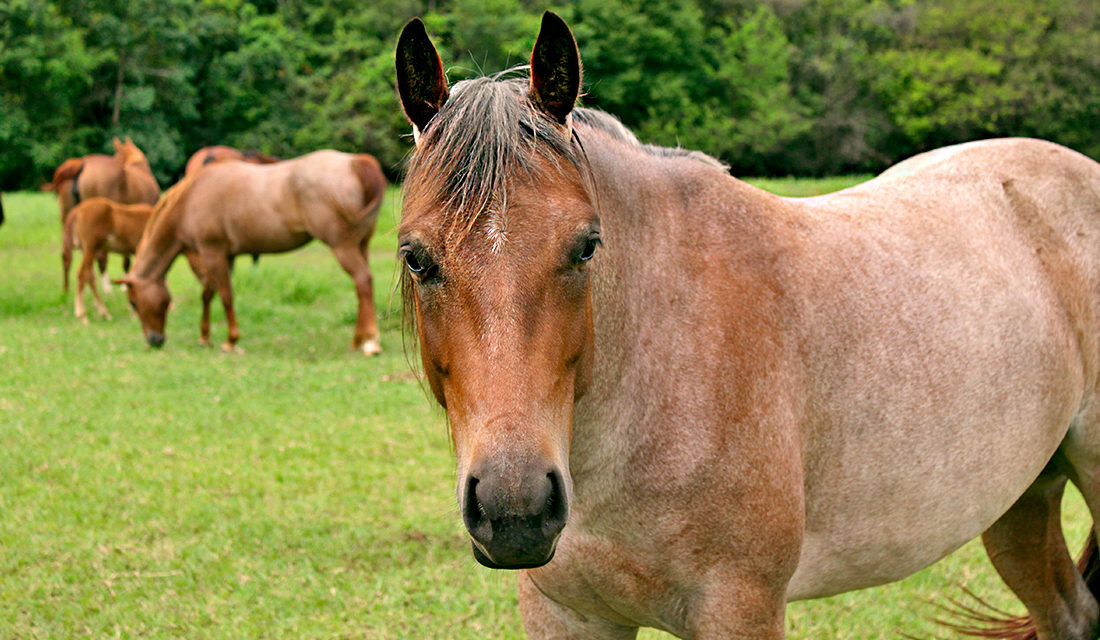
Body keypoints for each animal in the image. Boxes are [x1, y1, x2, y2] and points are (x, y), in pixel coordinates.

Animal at [40, 140, 160, 292]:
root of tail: (81, 164)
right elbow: (127, 258)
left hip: (68, 220)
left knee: (68, 256)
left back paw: (67, 291)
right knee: (99, 257)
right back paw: (106, 288)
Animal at [119, 150, 387, 356]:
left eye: (133, 302)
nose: (155, 340)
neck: (191, 199)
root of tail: (355, 162)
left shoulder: (213, 253)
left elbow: (225, 296)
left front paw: (230, 341)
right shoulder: (221, 256)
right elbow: (207, 294)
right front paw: (204, 337)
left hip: (343, 247)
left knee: (363, 280)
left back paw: (370, 341)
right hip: (361, 245)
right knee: (363, 287)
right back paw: (358, 339)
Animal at [393, 13, 1100, 640]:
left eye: (588, 246)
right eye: (416, 257)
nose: (515, 508)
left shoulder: (740, 608)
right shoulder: (566, 613)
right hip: (1021, 500)